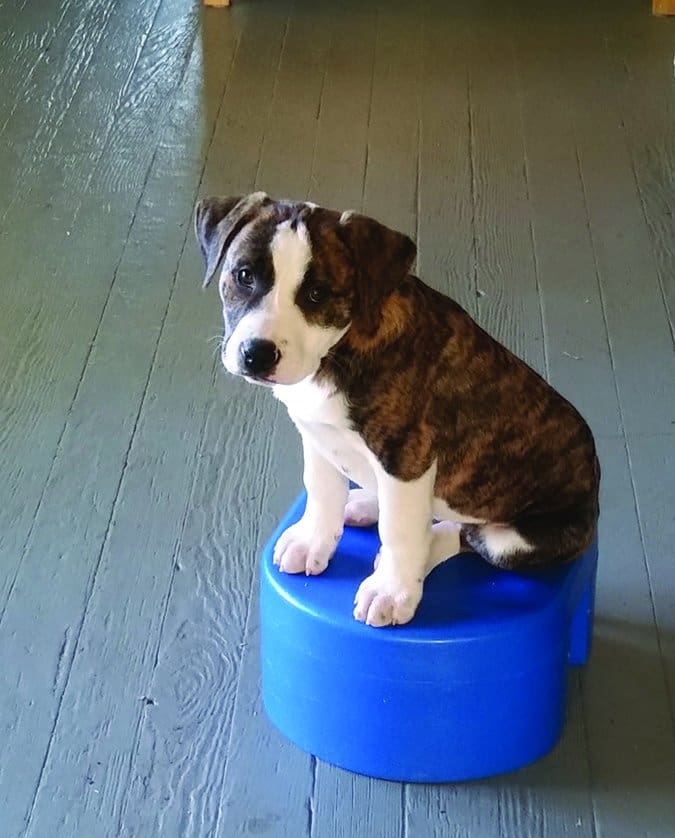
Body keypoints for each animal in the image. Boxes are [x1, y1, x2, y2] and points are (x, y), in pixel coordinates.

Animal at [195, 194, 604, 628]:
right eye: (244, 275)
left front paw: (391, 592)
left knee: (466, 533)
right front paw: (312, 542)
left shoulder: (407, 454)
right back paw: (364, 503)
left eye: (317, 294)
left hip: (523, 538)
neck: (339, 350)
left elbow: (401, 532)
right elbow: (322, 490)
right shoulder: (319, 434)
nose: (257, 354)